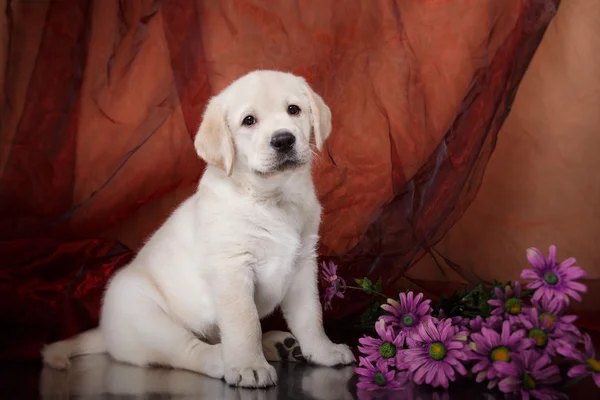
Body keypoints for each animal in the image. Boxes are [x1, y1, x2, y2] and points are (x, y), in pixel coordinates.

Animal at [42, 71, 356, 388]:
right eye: (249, 121)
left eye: (294, 109)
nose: (283, 140)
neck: (272, 197)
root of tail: (106, 334)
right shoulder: (232, 269)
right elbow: (245, 323)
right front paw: (248, 366)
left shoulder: (303, 263)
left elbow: (310, 316)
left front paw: (324, 351)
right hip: (147, 317)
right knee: (189, 351)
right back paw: (226, 360)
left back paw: (281, 345)